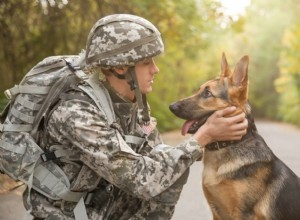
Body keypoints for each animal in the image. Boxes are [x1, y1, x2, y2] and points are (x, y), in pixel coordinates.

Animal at [169, 53, 300, 220]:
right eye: (199, 90)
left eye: (207, 93)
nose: (171, 106)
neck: (229, 143)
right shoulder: (216, 213)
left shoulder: (243, 214)